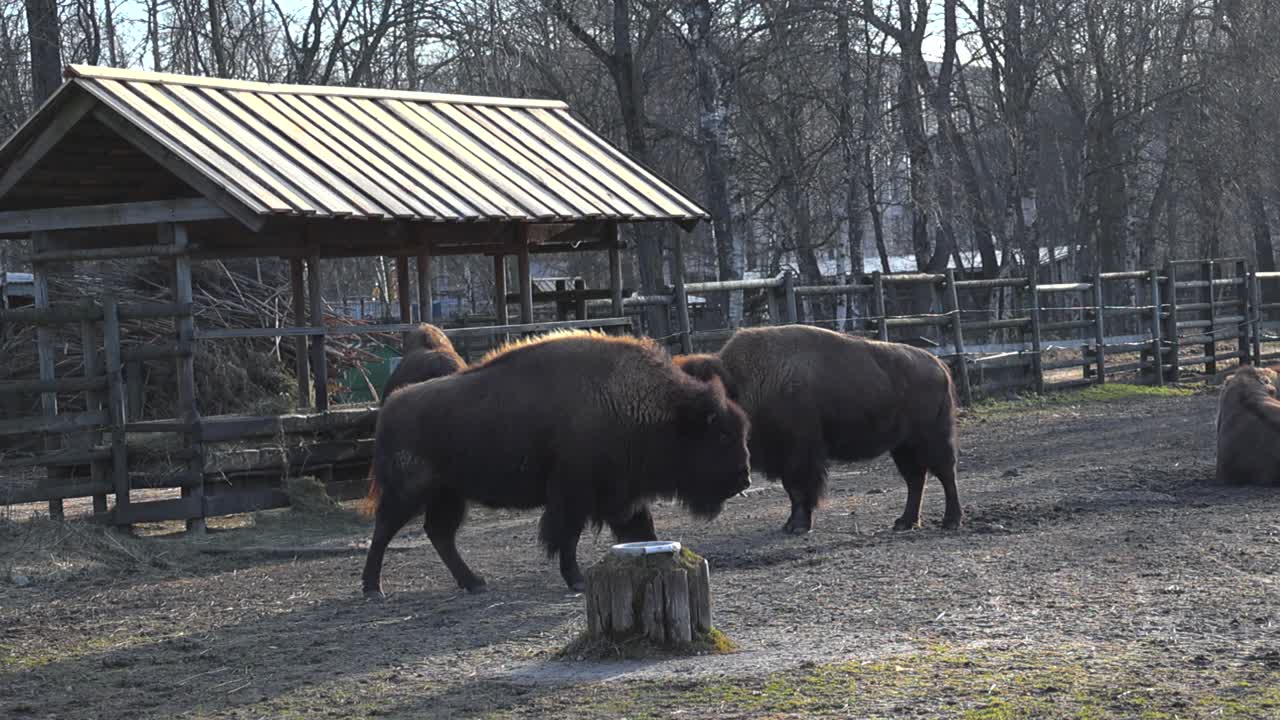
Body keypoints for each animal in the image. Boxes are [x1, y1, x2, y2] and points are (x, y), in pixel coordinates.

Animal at [361, 330, 751, 596]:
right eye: (721, 436)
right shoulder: (573, 495)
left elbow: (641, 530)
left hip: (449, 495)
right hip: (409, 494)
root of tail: (389, 408)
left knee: (439, 533)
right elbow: (567, 535)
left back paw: (474, 582)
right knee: (384, 532)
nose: (744, 478)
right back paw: (373, 588)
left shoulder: (622, 496)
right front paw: (575, 580)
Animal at [676, 325, 959, 534]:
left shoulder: (800, 455)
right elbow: (792, 491)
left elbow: (800, 489)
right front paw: (790, 525)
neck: (743, 383)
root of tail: (939, 365)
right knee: (916, 479)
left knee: (945, 473)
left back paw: (950, 521)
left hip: (931, 439)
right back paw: (905, 522)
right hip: (902, 446)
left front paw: (798, 526)